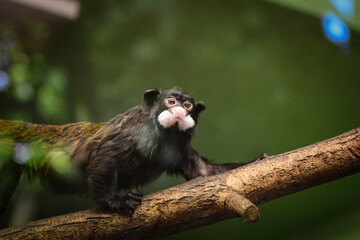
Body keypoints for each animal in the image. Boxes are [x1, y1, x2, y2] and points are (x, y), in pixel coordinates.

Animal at [0, 87, 245, 212]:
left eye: (187, 106)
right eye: (171, 102)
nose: (179, 112)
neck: (164, 136)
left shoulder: (180, 148)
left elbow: (203, 171)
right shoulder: (135, 133)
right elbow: (106, 155)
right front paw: (113, 201)